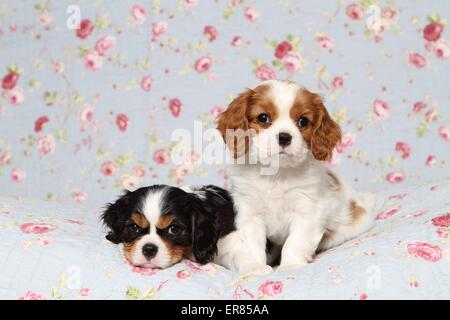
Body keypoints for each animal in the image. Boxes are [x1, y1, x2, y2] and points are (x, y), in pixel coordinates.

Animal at [216, 80, 374, 276]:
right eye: (263, 118)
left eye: (303, 121)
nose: (284, 137)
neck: (277, 174)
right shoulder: (250, 214)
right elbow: (252, 245)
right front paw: (256, 268)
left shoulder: (307, 212)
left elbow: (294, 242)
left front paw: (289, 266)